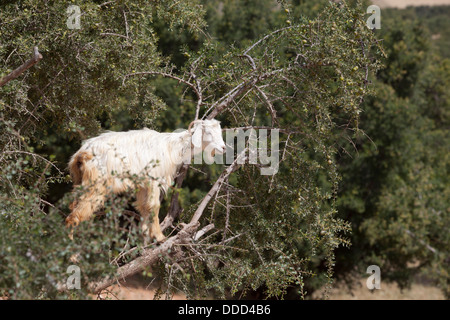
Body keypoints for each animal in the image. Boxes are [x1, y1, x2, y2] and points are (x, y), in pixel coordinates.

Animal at [65, 119, 227, 241]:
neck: (172, 147)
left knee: (72, 206)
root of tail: (82, 153)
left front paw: (145, 235)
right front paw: (159, 237)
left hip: (80, 181)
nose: (223, 147)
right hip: (96, 185)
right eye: (208, 132)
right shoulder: (154, 179)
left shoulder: (142, 184)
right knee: (77, 214)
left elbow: (143, 206)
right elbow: (154, 206)